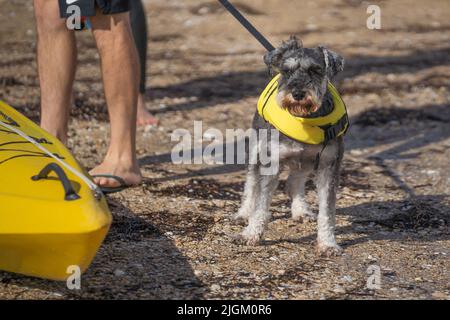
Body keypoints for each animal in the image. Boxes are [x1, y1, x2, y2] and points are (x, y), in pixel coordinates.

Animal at [234, 36, 346, 256]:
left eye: (315, 70)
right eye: (286, 71)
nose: (297, 93)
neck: (304, 119)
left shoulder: (329, 167)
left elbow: (327, 211)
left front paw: (328, 243)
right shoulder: (270, 163)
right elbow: (260, 203)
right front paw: (251, 234)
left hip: (305, 162)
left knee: (294, 182)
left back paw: (301, 210)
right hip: (256, 152)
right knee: (251, 183)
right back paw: (244, 212)